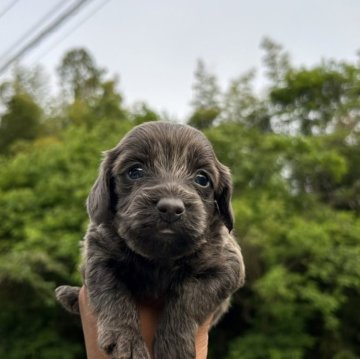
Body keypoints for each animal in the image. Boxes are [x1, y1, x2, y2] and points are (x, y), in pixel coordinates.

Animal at [55, 122, 245, 358]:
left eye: (202, 179)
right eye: (135, 171)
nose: (171, 208)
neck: (160, 257)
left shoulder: (227, 266)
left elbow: (189, 295)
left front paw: (173, 344)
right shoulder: (99, 252)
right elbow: (112, 293)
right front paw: (127, 341)